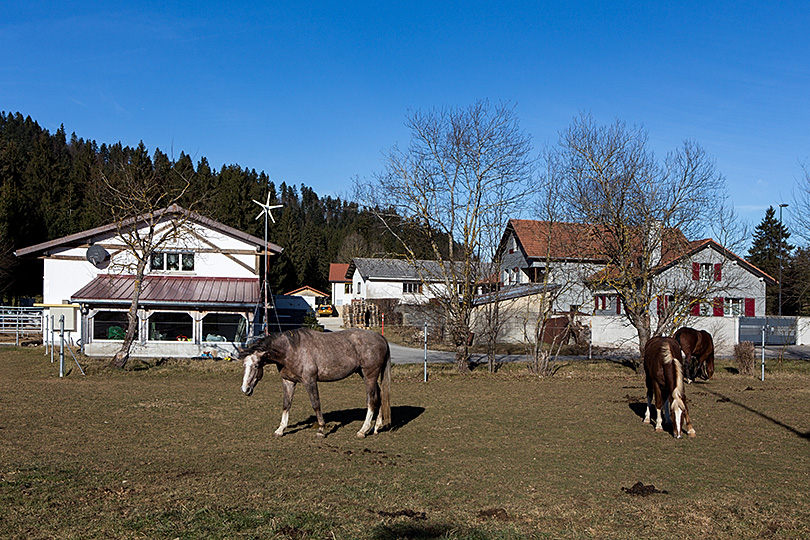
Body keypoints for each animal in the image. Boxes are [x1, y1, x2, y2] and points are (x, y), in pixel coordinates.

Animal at [237, 324, 392, 438]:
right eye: (244, 365)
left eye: (256, 365)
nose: (245, 389)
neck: (291, 350)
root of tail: (381, 337)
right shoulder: (288, 381)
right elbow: (286, 404)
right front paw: (280, 430)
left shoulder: (310, 381)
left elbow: (316, 404)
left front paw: (321, 430)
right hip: (365, 375)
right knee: (379, 396)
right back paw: (376, 427)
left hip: (369, 376)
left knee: (372, 400)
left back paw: (363, 430)